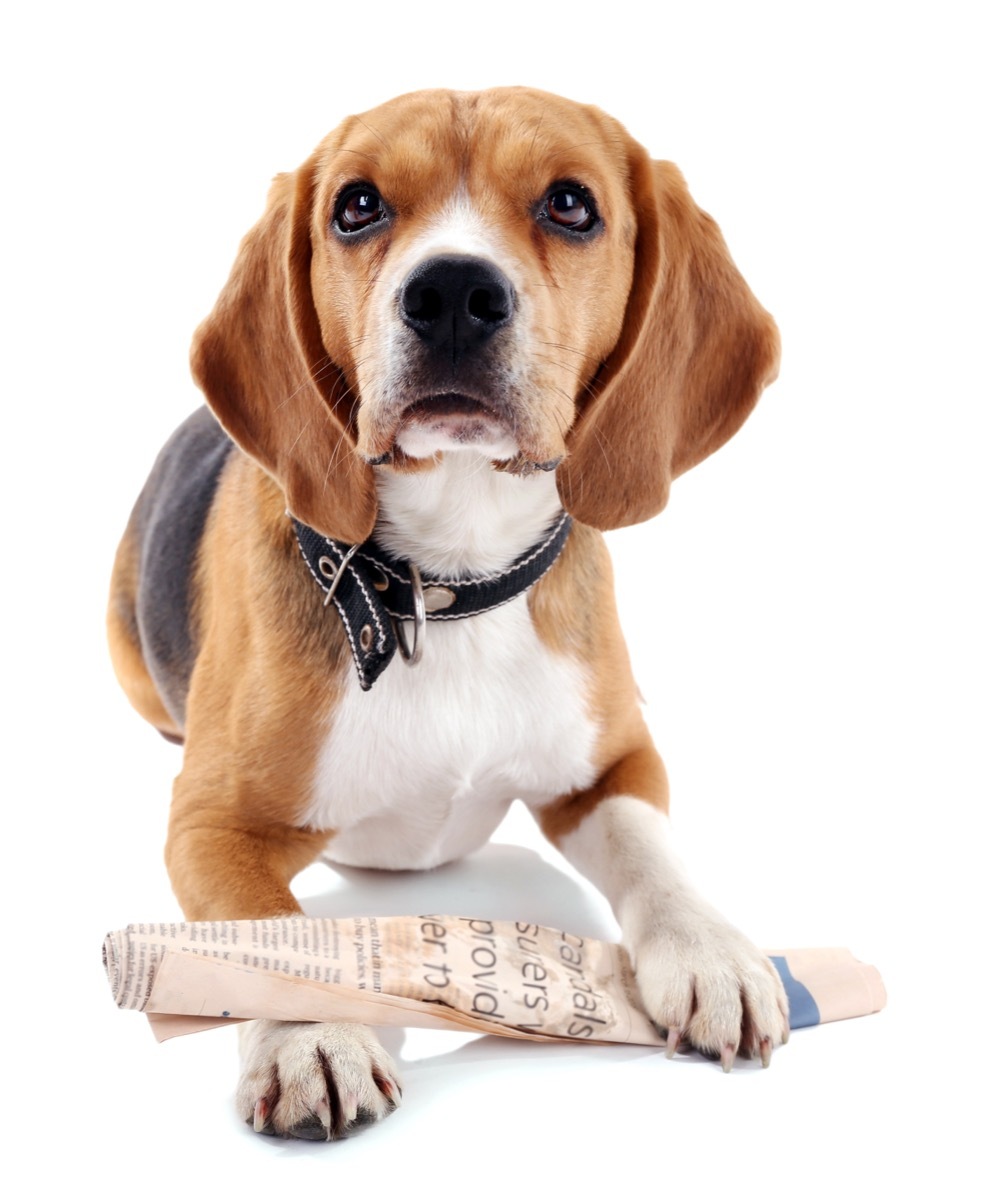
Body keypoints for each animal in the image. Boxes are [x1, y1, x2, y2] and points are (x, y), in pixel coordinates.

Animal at [110, 87, 787, 1142]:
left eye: (570, 203)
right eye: (356, 206)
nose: (454, 292)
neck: (443, 587)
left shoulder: (618, 761)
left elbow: (653, 852)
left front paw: (710, 950)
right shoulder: (212, 823)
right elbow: (268, 935)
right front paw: (313, 1033)